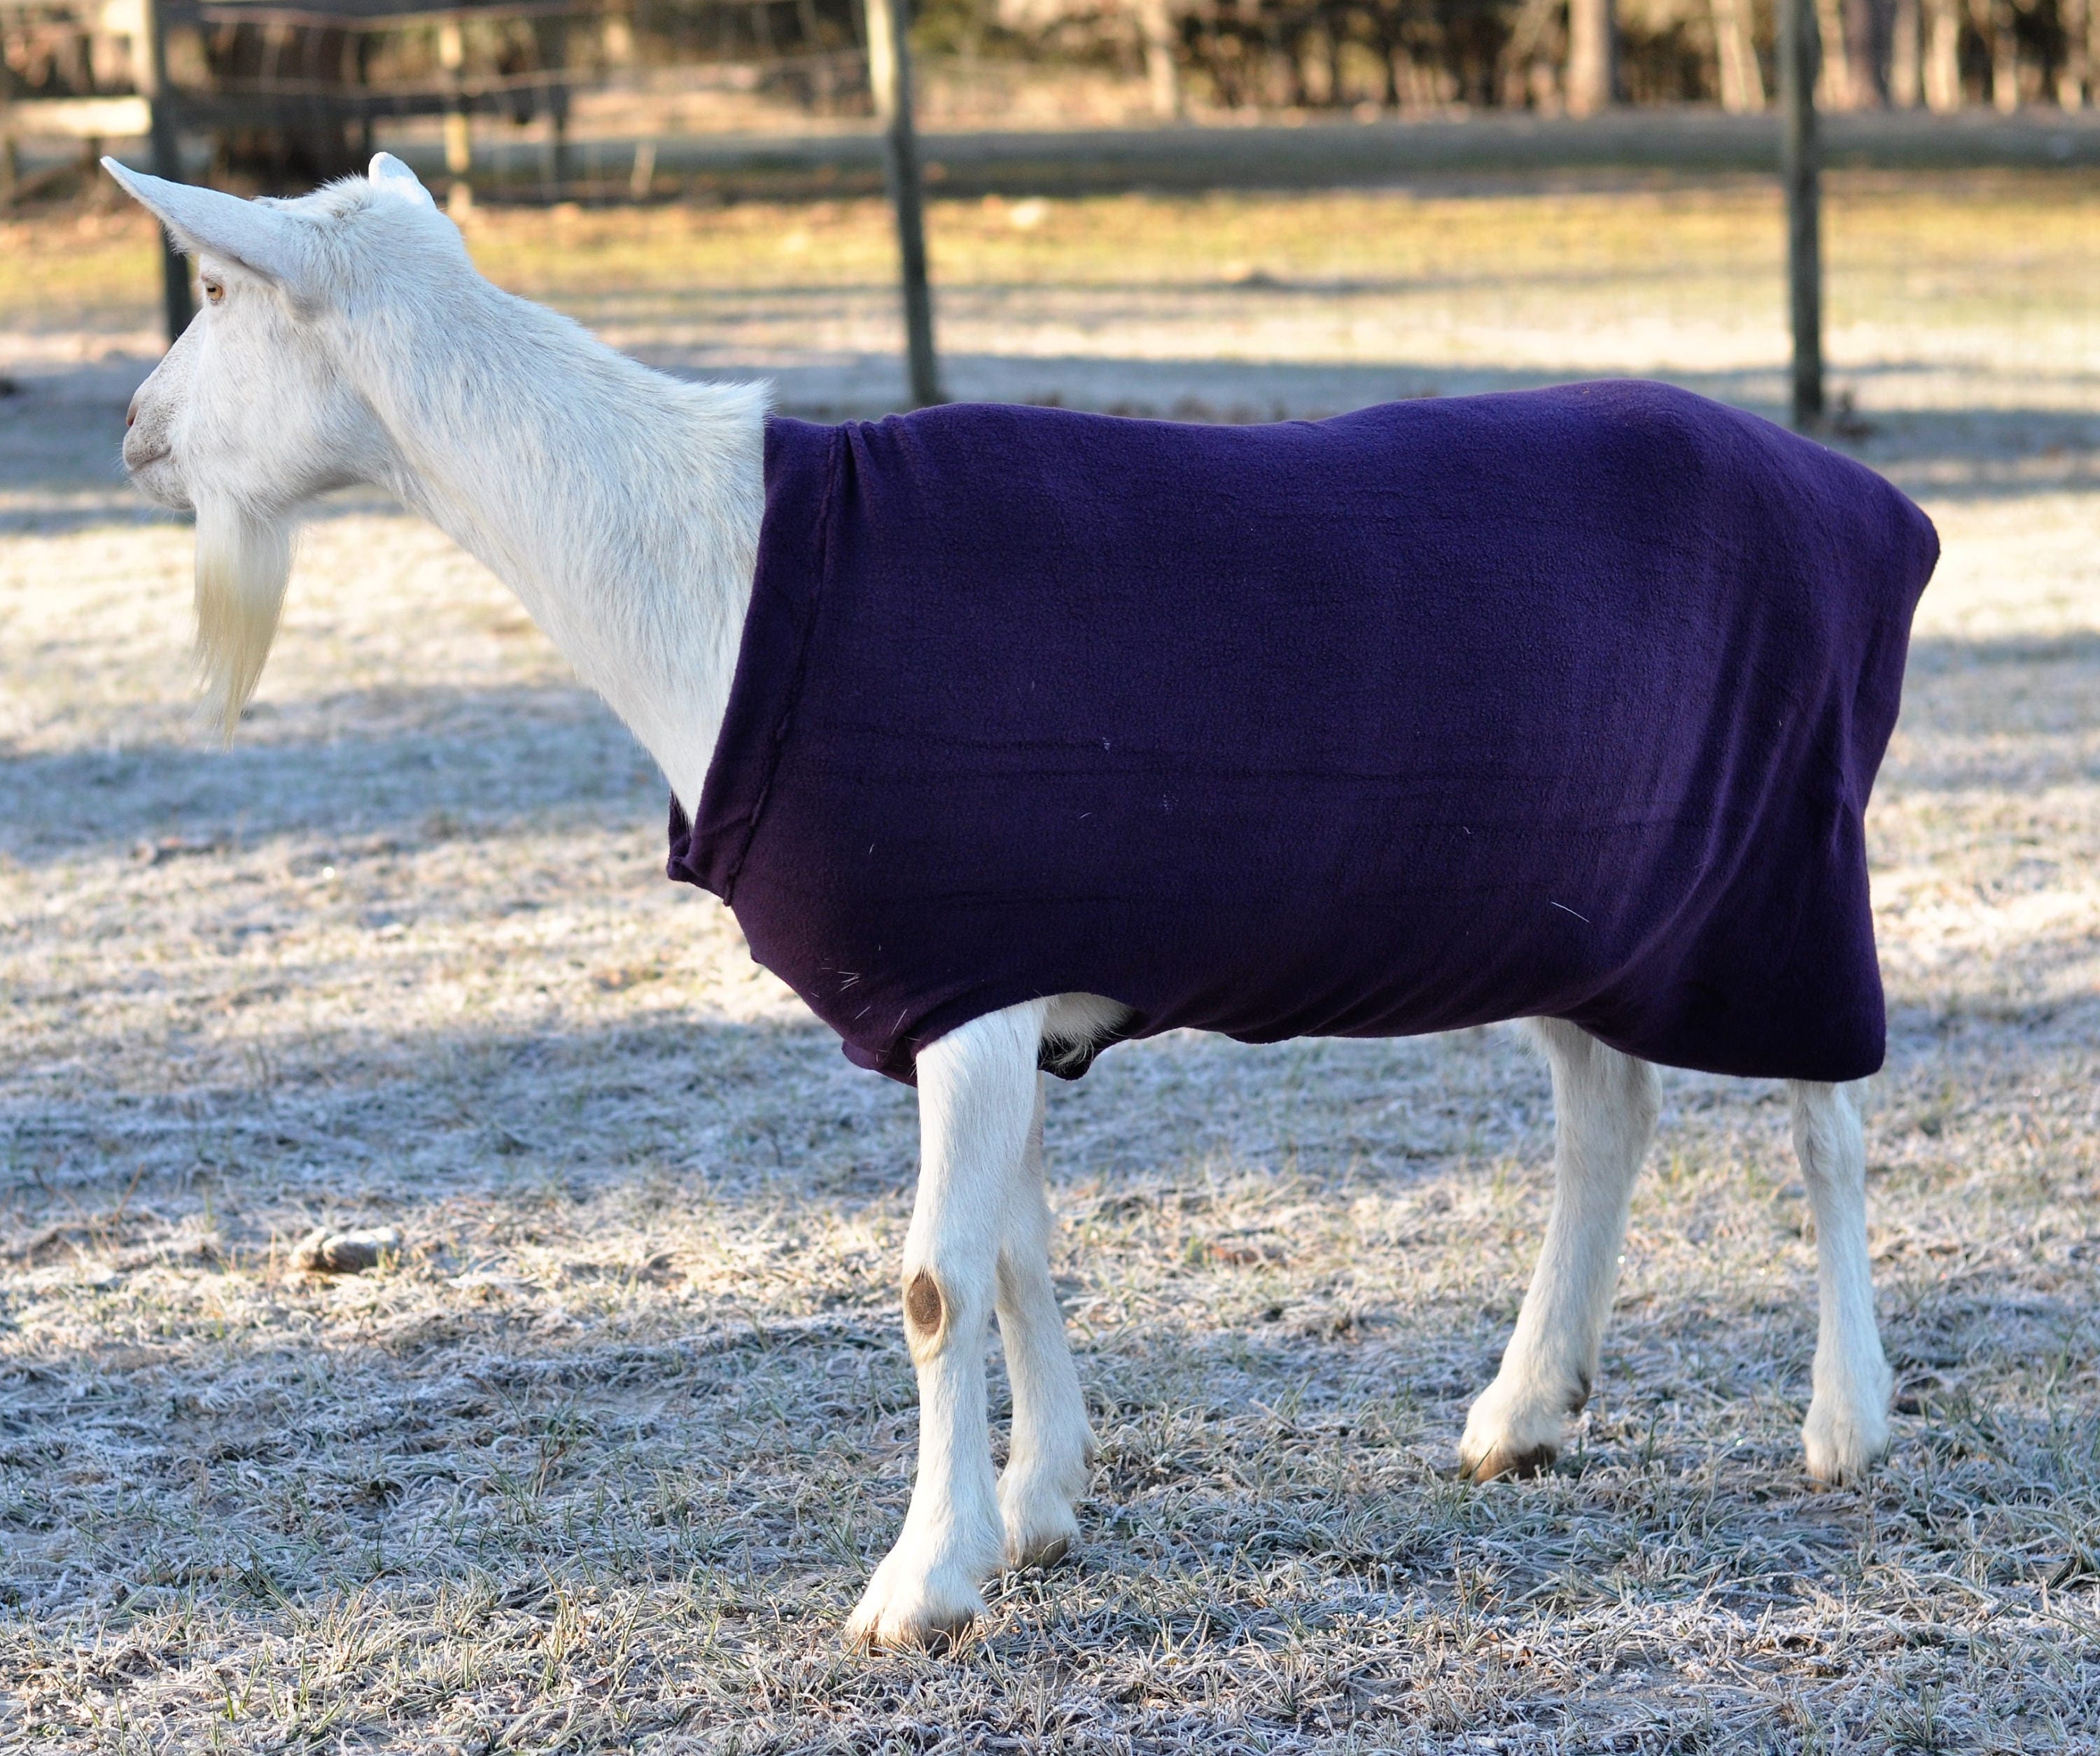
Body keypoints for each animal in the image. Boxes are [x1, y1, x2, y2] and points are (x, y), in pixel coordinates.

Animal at [104, 155, 1937, 1653]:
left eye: (217, 292)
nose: (131, 433)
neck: (710, 565)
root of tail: (1876, 509)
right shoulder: (987, 982)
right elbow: (1013, 1253)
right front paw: (1036, 1509)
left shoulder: (966, 983)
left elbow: (932, 1280)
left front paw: (917, 1588)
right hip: (1588, 896)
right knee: (1607, 1108)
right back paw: (1526, 1410)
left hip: (1783, 866)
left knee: (1828, 1127)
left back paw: (1845, 1425)